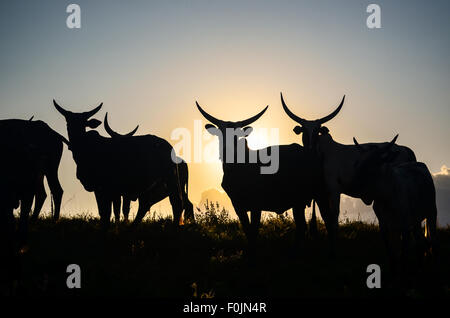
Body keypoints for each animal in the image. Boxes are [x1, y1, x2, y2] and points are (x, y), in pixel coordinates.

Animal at [52, 99, 185, 226]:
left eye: (83, 123)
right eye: (68, 123)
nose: (73, 143)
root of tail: (168, 146)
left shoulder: (107, 188)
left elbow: (107, 212)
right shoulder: (104, 189)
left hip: (169, 180)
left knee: (176, 203)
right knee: (148, 204)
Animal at [195, 101, 328, 248]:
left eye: (237, 135)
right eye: (220, 134)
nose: (226, 151)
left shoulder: (256, 206)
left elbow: (253, 232)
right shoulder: (238, 206)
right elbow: (247, 231)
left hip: (313, 197)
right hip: (298, 202)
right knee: (301, 226)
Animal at [280, 92, 416, 253]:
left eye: (317, 130)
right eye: (303, 131)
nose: (310, 148)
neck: (322, 155)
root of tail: (405, 149)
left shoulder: (334, 189)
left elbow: (333, 216)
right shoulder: (322, 193)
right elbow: (326, 216)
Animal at [354, 135, 438, 274]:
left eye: (375, 165)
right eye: (359, 164)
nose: (360, 191)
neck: (386, 196)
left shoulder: (405, 225)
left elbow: (403, 253)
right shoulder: (385, 226)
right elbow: (391, 252)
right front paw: (393, 269)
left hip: (431, 213)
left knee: (433, 241)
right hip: (415, 221)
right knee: (420, 241)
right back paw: (420, 264)